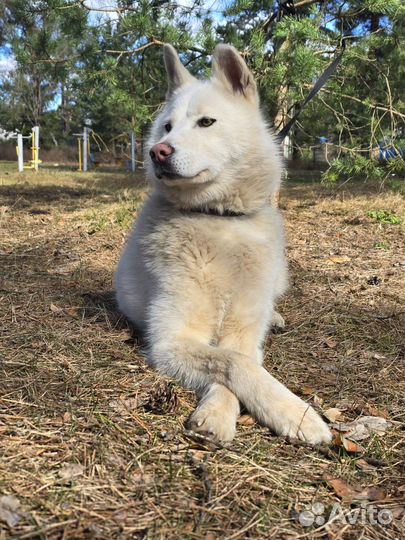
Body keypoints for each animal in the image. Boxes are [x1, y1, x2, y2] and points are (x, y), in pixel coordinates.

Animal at [114, 45, 332, 442]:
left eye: (206, 122)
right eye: (167, 127)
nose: (158, 152)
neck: (217, 218)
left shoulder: (243, 333)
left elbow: (242, 359)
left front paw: (290, 413)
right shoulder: (172, 339)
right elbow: (235, 365)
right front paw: (290, 412)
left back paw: (275, 316)